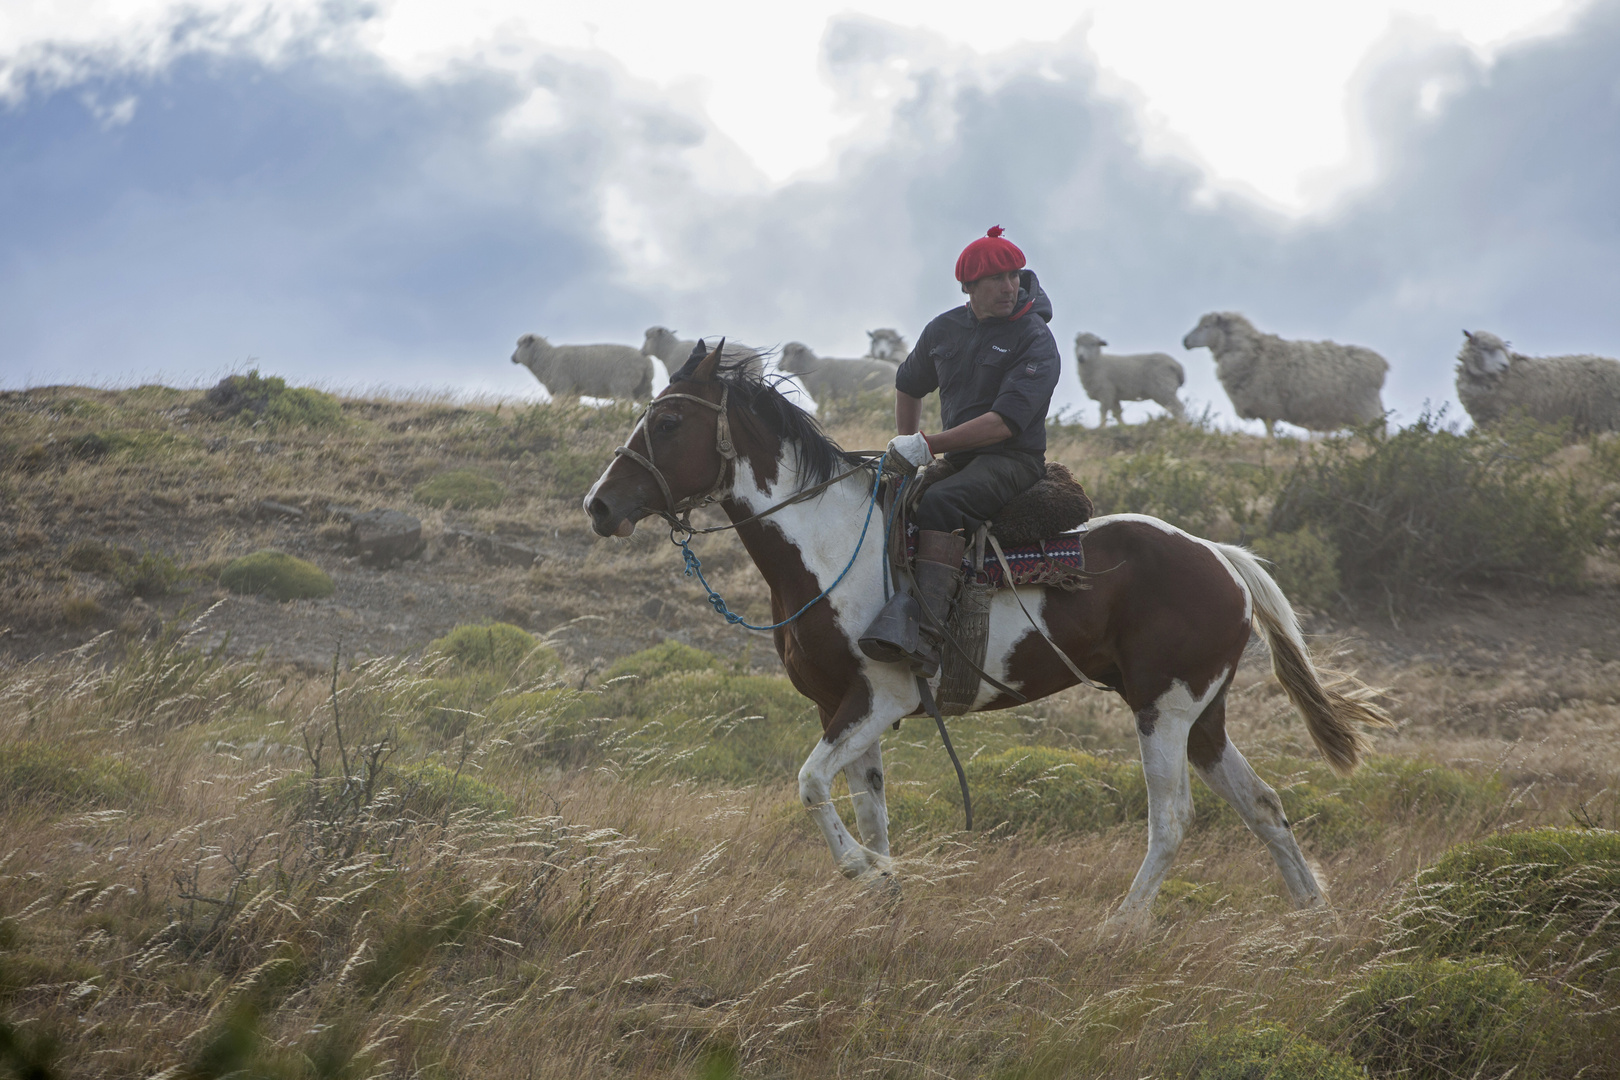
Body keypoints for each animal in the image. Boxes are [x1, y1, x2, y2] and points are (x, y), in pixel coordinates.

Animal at [511, 333, 651, 401]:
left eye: (519, 344)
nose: (512, 358)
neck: (547, 359)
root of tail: (646, 361)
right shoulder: (573, 392)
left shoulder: (563, 388)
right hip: (642, 388)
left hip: (622, 384)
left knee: (626, 403)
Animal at [586, 346, 1393, 919]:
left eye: (669, 422)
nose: (599, 506)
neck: (829, 543)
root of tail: (1219, 557)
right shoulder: (841, 711)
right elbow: (869, 811)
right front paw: (886, 894)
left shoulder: (878, 698)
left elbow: (811, 786)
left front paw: (866, 875)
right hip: (1203, 716)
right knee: (1263, 806)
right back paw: (1313, 920)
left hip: (1161, 713)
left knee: (1172, 820)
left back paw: (1123, 927)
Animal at [1185, 310, 1386, 437]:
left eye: (1206, 326)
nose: (1184, 341)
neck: (1252, 353)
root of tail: (1380, 365)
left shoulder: (1268, 410)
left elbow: (1270, 436)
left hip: (1367, 414)